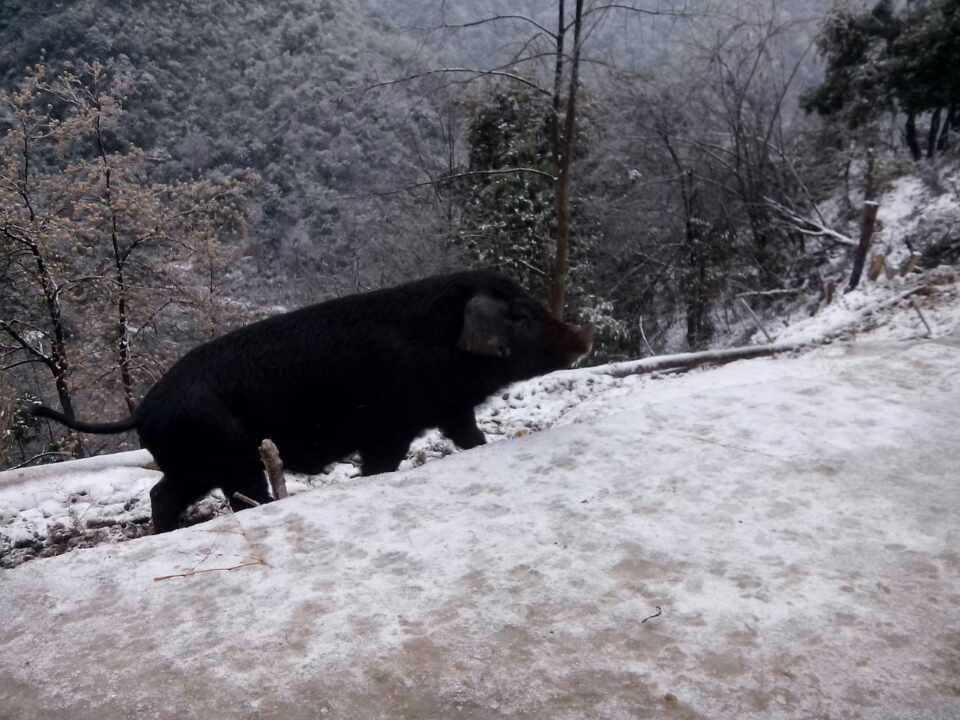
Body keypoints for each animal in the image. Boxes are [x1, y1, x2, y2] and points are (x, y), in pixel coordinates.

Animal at [33, 272, 592, 532]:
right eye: (520, 315)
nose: (584, 335)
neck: (440, 344)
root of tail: (144, 408)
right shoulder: (390, 427)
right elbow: (383, 464)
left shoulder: (447, 410)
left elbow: (470, 438)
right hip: (223, 458)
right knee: (211, 494)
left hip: (199, 465)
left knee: (163, 494)